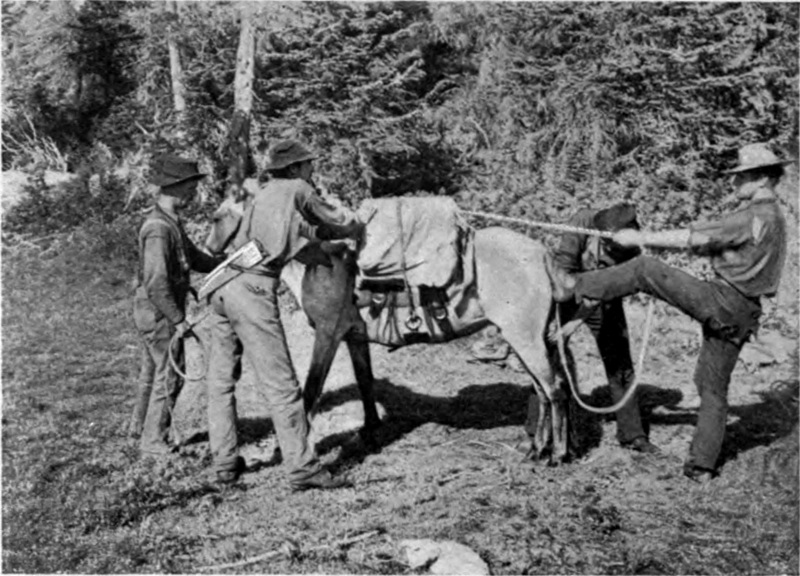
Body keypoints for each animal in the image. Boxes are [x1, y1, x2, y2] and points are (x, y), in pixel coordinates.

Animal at [204, 195, 576, 465]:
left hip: (525, 338)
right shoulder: (353, 336)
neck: (317, 260)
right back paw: (538, 449)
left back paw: (557, 454)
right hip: (526, 338)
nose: (209, 250)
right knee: (544, 391)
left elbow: (310, 389)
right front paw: (370, 431)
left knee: (555, 390)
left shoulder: (327, 333)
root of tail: (542, 254)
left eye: (218, 217)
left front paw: (285, 448)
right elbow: (365, 381)